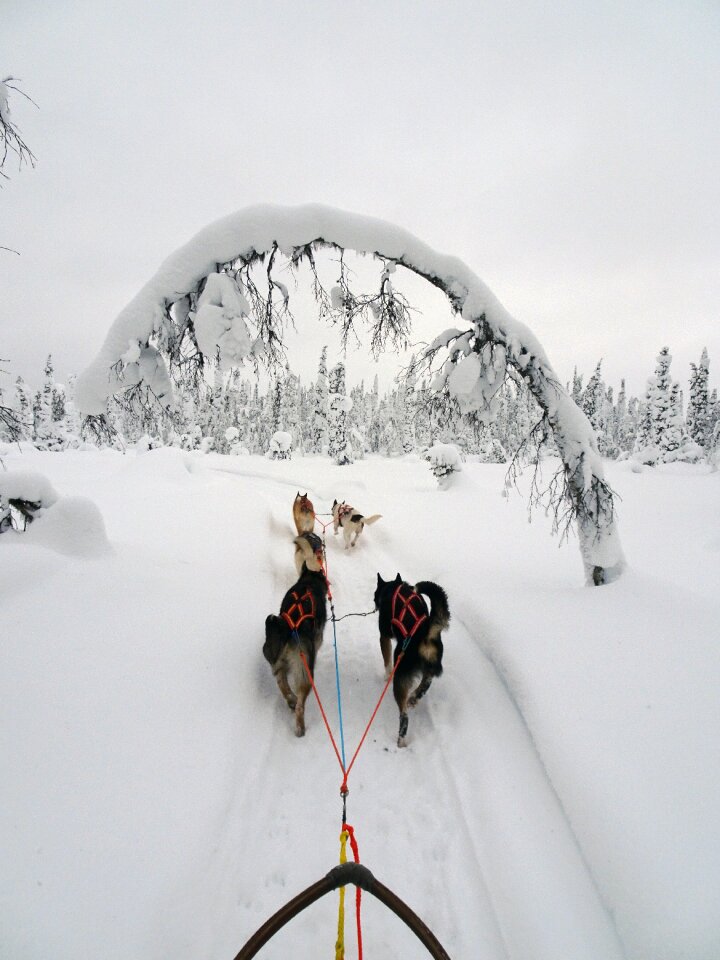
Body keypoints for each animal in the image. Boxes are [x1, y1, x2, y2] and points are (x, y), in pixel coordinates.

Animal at [262, 564, 328, 736]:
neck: (309, 582)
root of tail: (289, 629)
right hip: (305, 672)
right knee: (300, 706)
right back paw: (300, 728)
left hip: (278, 663)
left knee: (283, 685)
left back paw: (291, 699)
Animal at [372, 572, 450, 748]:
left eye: (375, 595)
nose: (374, 604)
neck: (393, 588)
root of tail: (426, 633)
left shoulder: (384, 637)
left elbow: (387, 662)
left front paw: (386, 676)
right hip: (430, 668)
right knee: (425, 684)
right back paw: (414, 697)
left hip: (400, 670)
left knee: (404, 717)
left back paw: (401, 740)